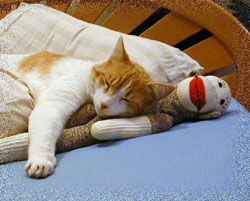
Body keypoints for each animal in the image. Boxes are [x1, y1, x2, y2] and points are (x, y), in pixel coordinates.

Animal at [12, 37, 174, 178]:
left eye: (126, 99)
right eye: (107, 83)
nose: (104, 104)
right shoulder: (53, 101)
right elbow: (44, 129)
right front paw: (40, 159)